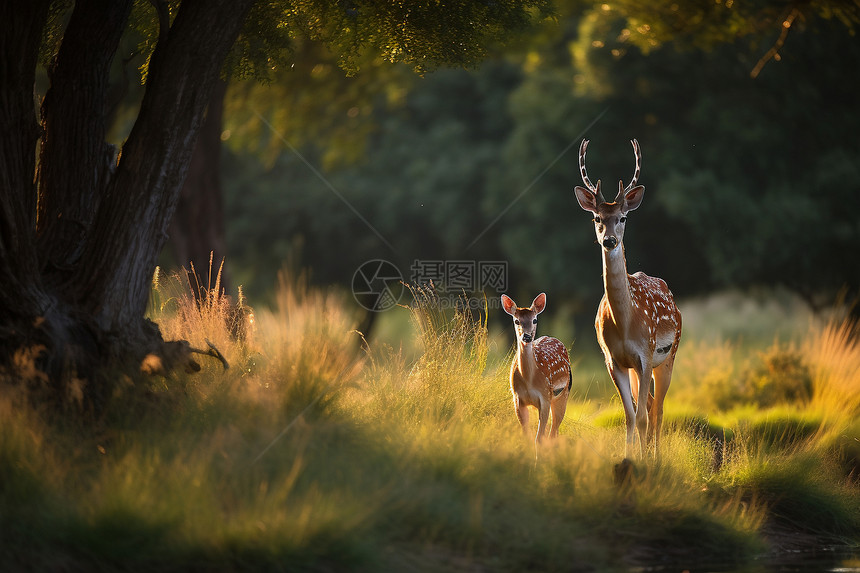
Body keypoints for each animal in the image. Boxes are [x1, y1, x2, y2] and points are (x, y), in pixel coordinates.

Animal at [500, 292, 568, 444]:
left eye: (535, 320)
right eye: (516, 321)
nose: (527, 336)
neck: (529, 381)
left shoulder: (545, 396)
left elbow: (539, 439)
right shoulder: (517, 398)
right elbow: (527, 436)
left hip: (563, 394)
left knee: (554, 431)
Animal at [576, 141, 680, 458]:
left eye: (622, 218)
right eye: (597, 218)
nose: (609, 240)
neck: (625, 324)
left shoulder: (646, 354)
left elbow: (643, 416)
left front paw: (645, 463)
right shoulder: (614, 360)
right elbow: (630, 416)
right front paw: (628, 458)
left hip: (669, 355)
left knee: (658, 409)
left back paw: (657, 458)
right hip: (638, 368)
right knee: (648, 405)